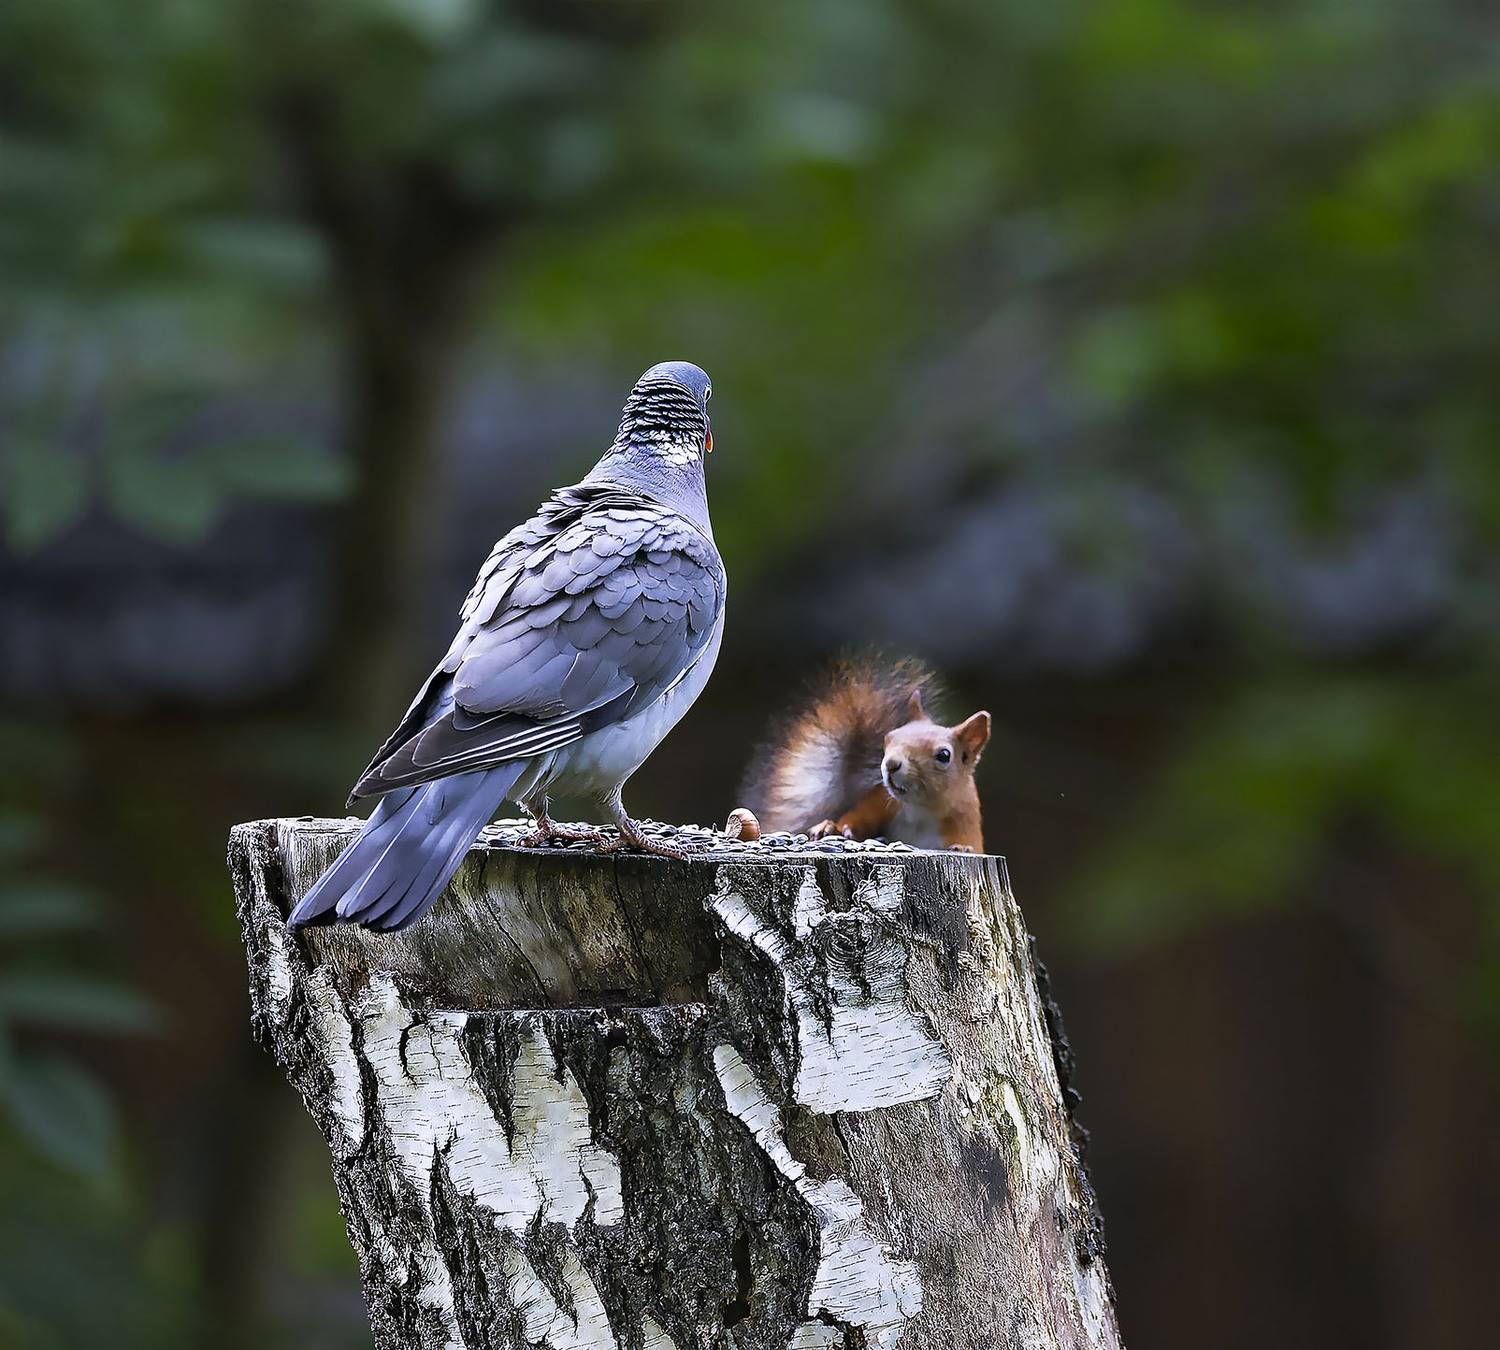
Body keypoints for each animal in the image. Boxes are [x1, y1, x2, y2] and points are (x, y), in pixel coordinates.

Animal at [736, 656, 991, 852]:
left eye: (944, 755)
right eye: (889, 738)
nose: (891, 764)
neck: (920, 810)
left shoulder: (964, 821)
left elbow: (968, 844)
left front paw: (961, 848)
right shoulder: (880, 800)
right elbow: (857, 819)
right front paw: (832, 827)